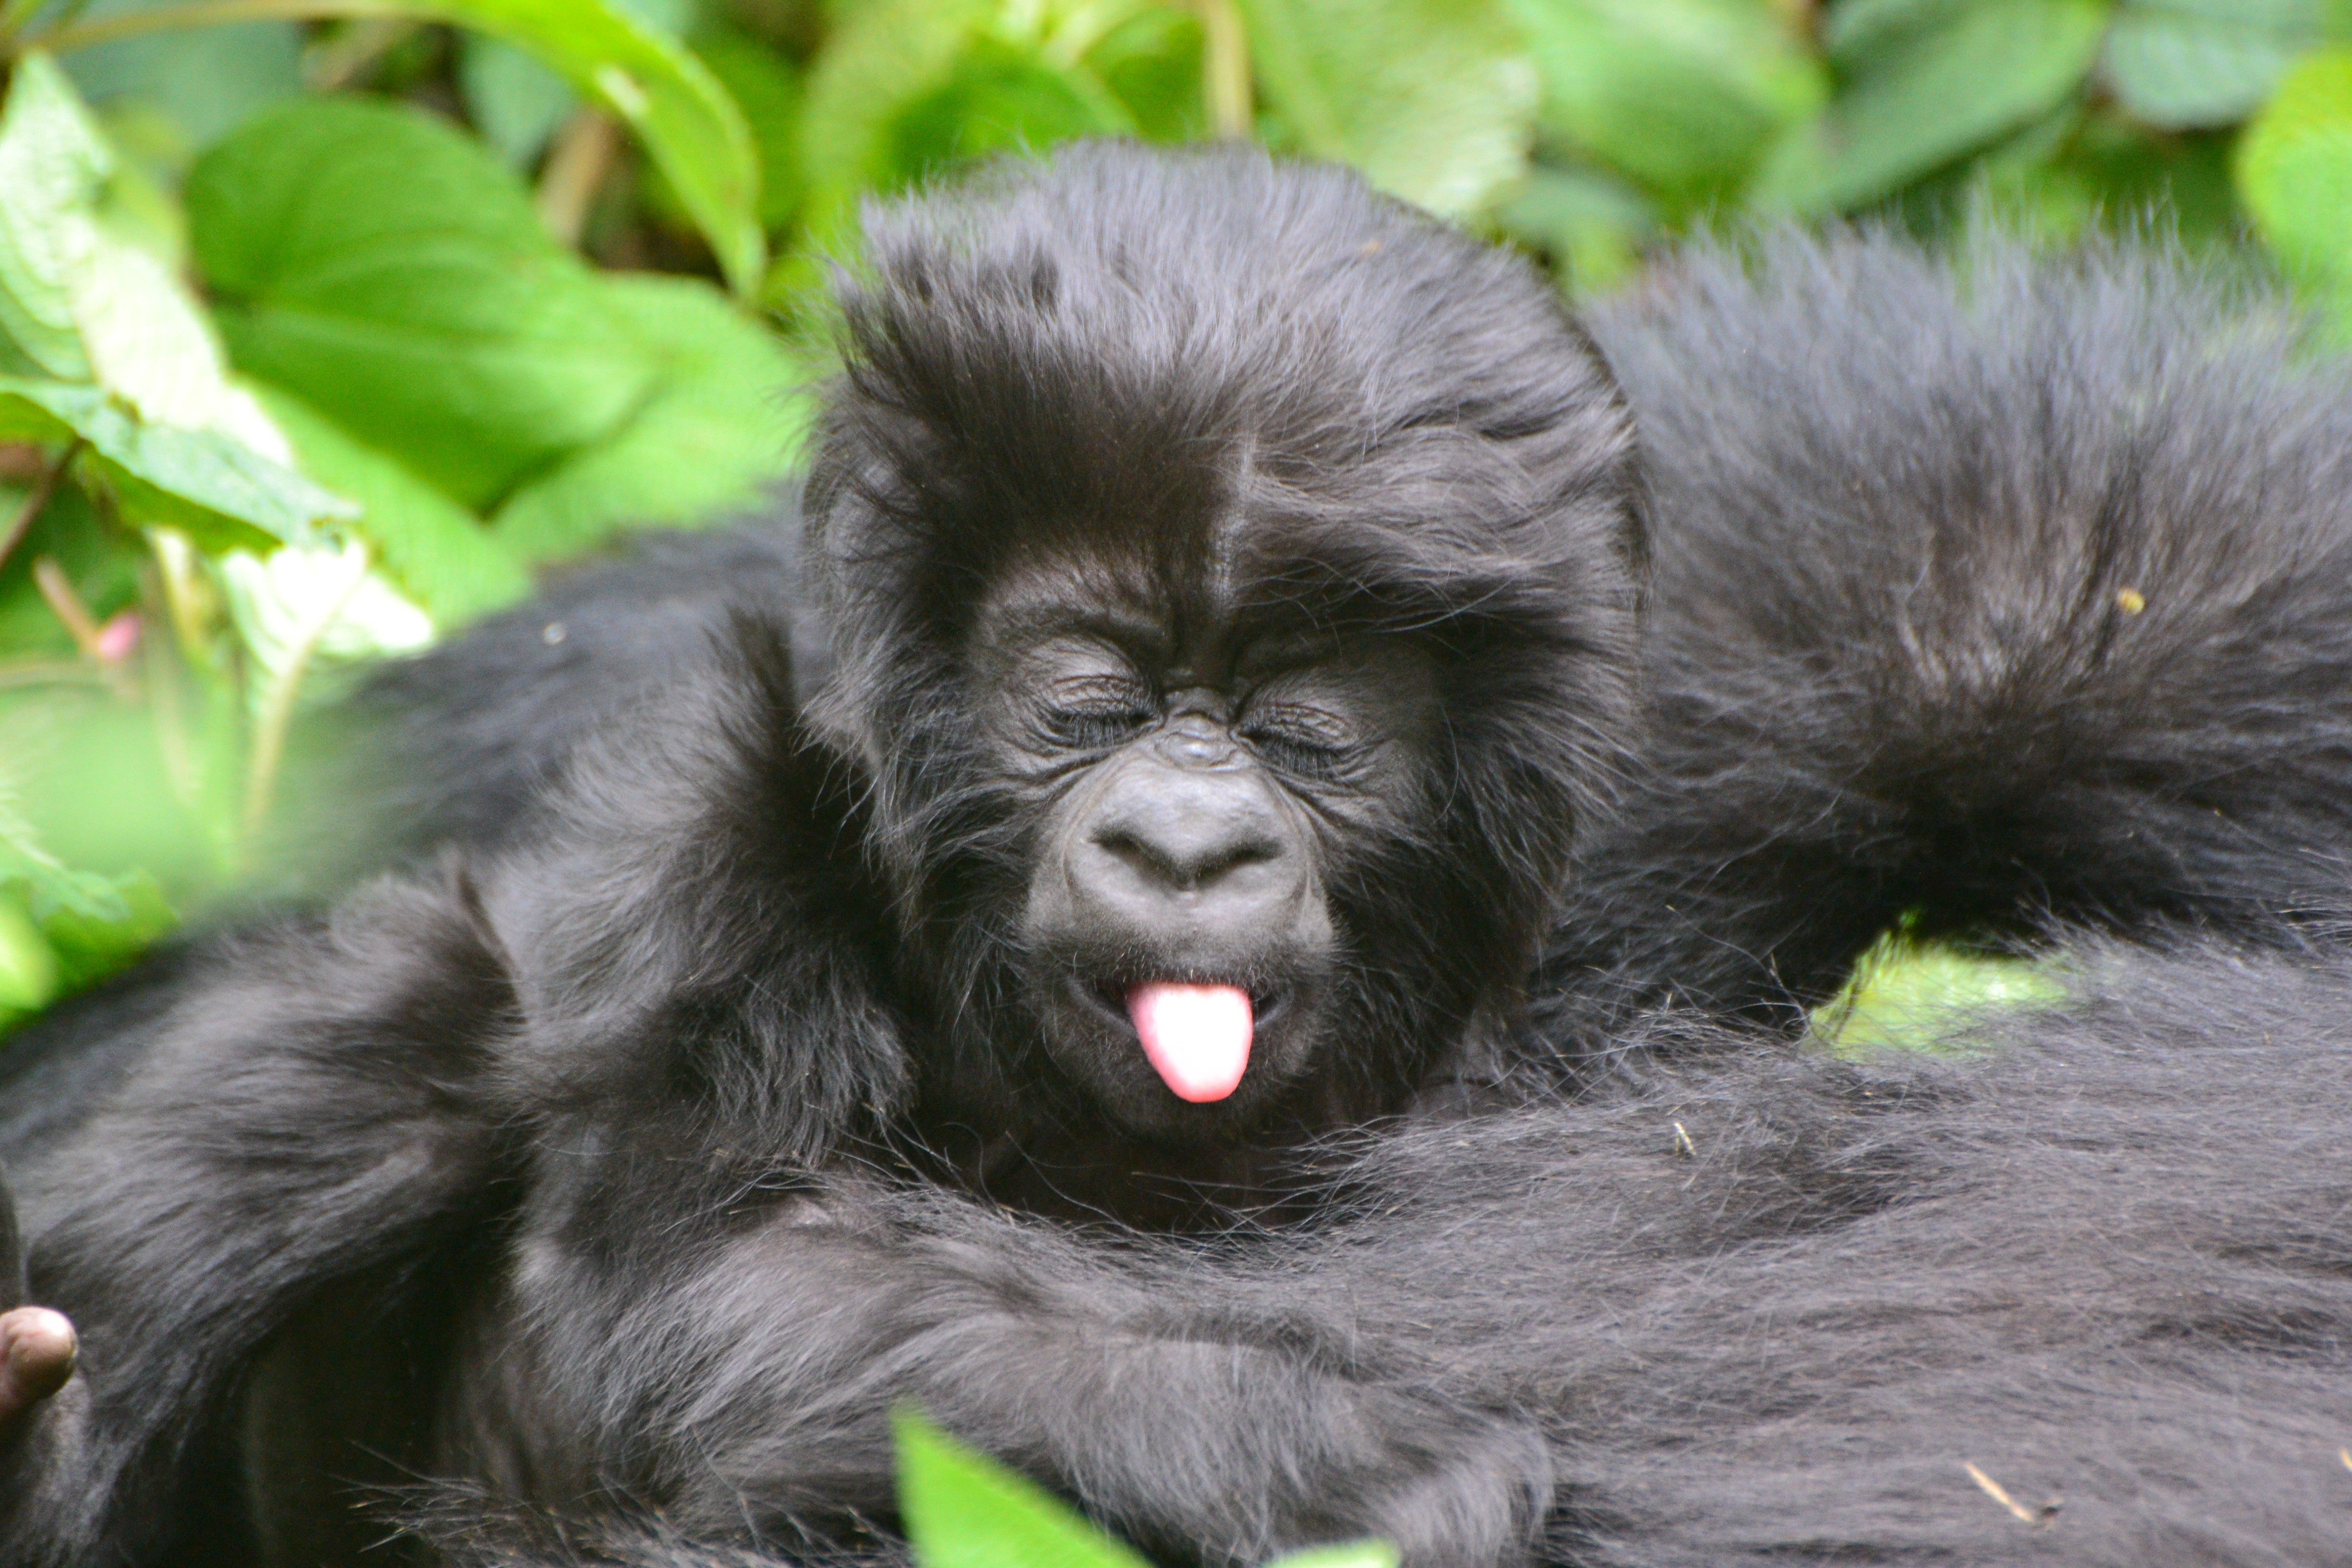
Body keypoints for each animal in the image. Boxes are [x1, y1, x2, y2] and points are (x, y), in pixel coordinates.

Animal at [5, 146, 2352, 1568]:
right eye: (1089, 695)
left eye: (1305, 724)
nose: (1190, 837)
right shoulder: (711, 819)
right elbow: (648, 1292)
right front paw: (1333, 1449)